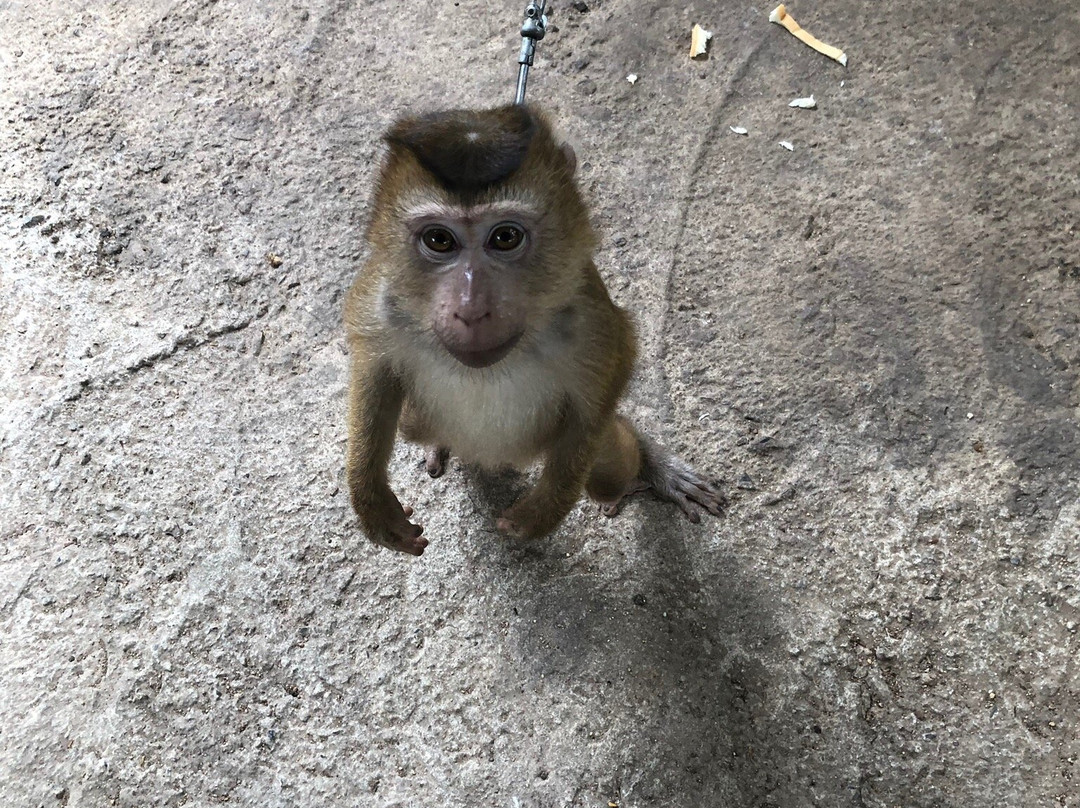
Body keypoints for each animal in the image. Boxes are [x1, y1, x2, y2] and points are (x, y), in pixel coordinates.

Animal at [341, 105, 721, 557]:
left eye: (505, 237)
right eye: (439, 240)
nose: (472, 310)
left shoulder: (588, 318)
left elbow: (600, 395)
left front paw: (539, 515)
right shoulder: (382, 304)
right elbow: (374, 375)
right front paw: (371, 501)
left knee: (607, 470)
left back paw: (645, 467)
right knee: (411, 424)